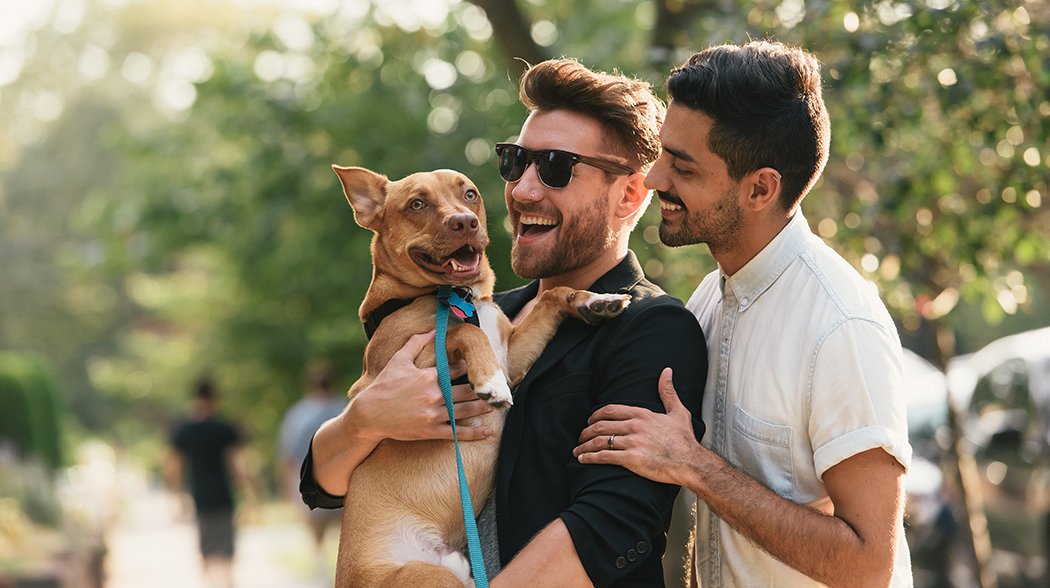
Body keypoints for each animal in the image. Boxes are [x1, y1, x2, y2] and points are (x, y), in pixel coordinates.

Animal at [329, 166, 621, 588]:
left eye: (469, 194)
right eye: (417, 204)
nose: (464, 221)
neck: (457, 297)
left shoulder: (511, 357)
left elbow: (552, 297)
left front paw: (595, 300)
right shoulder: (400, 369)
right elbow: (464, 333)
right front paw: (489, 383)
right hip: (428, 579)